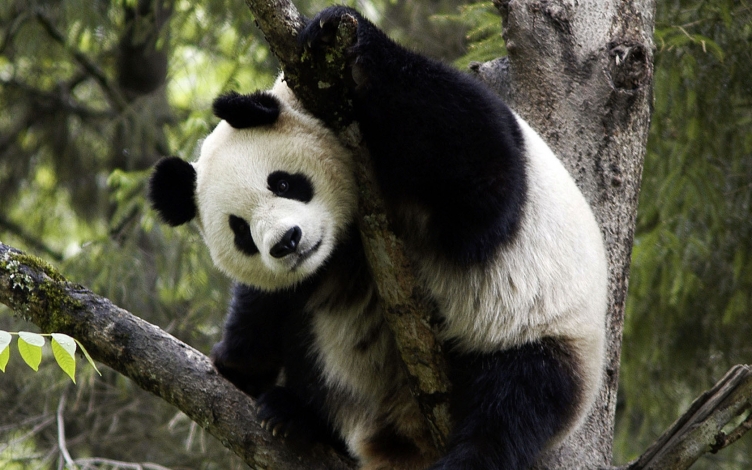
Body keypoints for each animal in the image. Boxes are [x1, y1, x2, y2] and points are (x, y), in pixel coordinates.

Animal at [148, 5, 608, 470]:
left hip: (542, 332)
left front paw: (334, 32)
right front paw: (236, 363)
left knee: (513, 406)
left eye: (283, 183)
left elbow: (485, 185)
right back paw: (295, 416)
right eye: (240, 230)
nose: (286, 243)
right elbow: (265, 304)